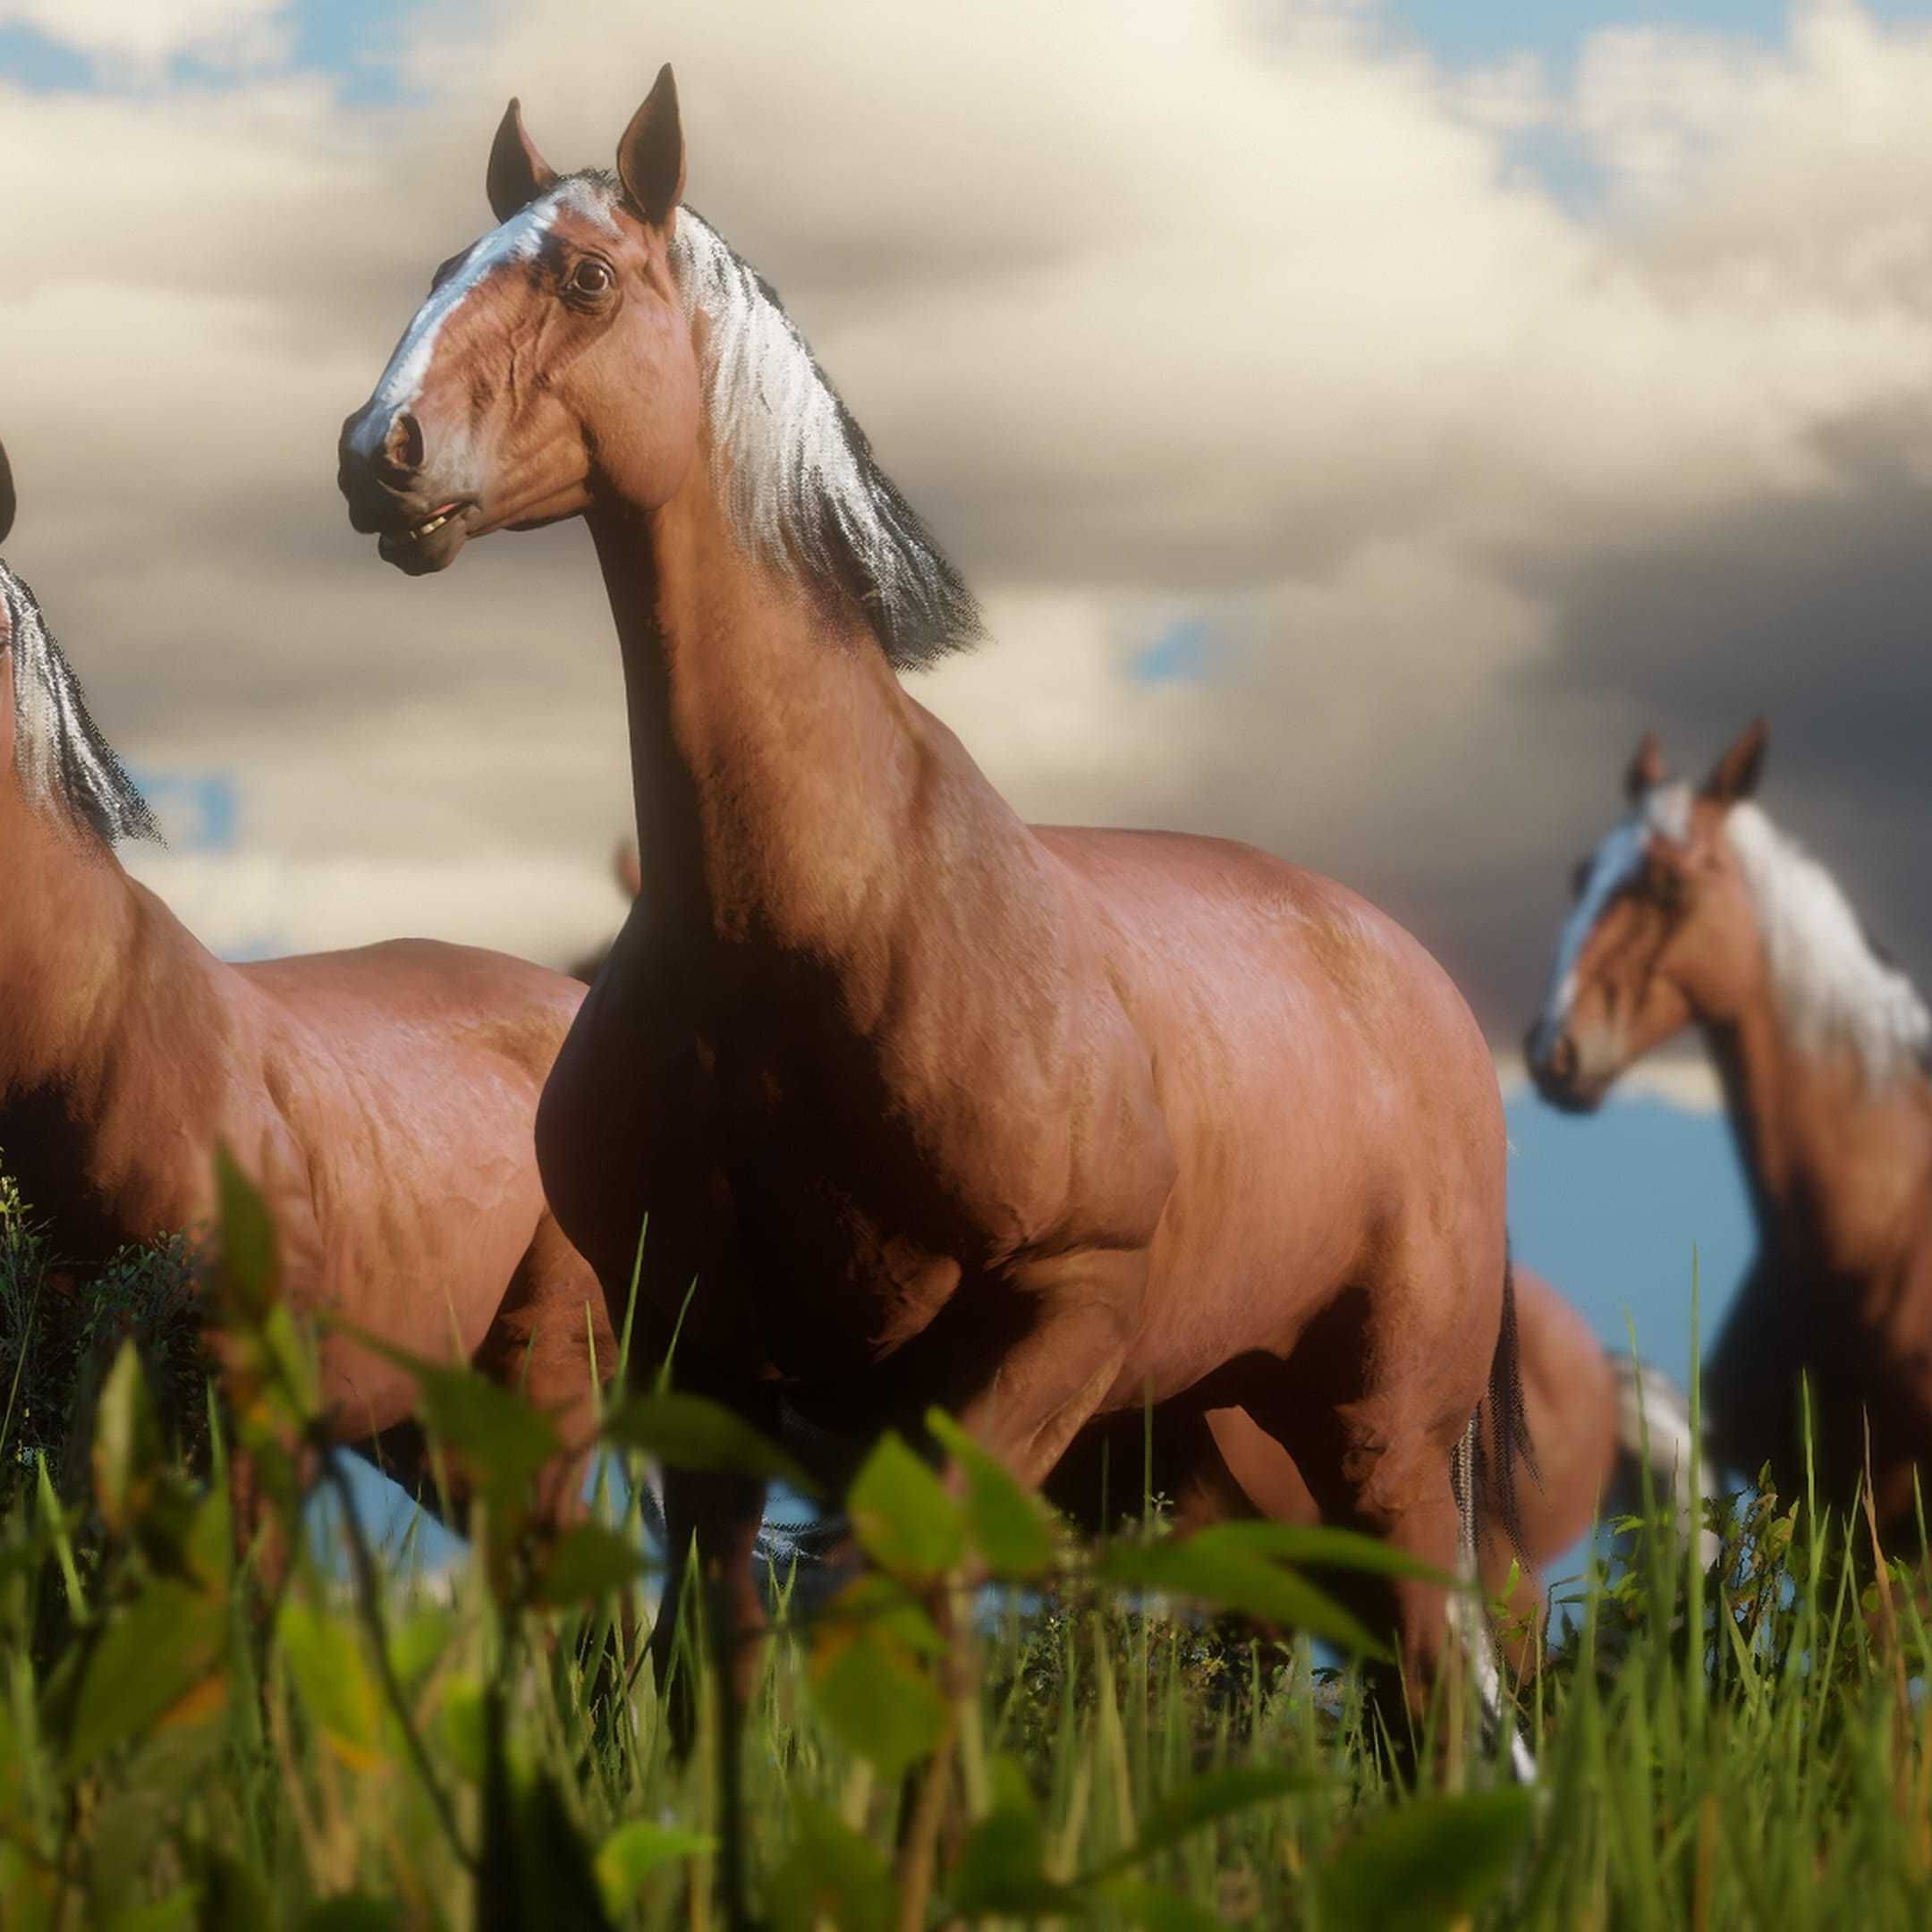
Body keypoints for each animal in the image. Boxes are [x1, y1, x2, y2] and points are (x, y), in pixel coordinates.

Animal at [335, 71, 1522, 1723]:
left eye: (582, 277)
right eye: (450, 262)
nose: (377, 450)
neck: (817, 925)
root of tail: (1412, 976)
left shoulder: (1051, 1320)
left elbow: (886, 1608)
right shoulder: (707, 1371)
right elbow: (723, 1658)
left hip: (1378, 1438)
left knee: (1428, 1684)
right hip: (1212, 1441)